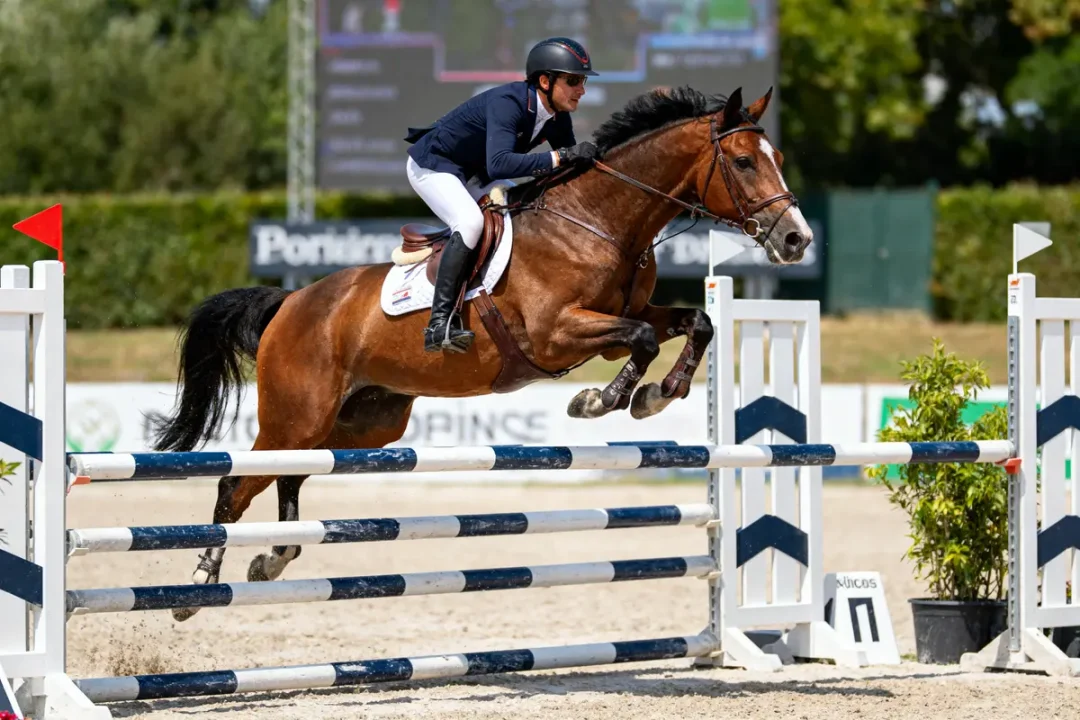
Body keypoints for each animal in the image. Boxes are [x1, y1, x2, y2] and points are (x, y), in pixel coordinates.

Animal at [150, 85, 812, 621]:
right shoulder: (554, 333)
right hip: (297, 413)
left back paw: (274, 557)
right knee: (235, 486)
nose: (796, 239)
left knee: (290, 473)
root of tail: (291, 301)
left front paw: (657, 395)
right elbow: (643, 340)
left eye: (779, 159)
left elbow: (695, 322)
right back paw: (199, 586)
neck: (597, 221)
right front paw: (602, 399)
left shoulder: (634, 309)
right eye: (744, 161)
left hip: (363, 421)